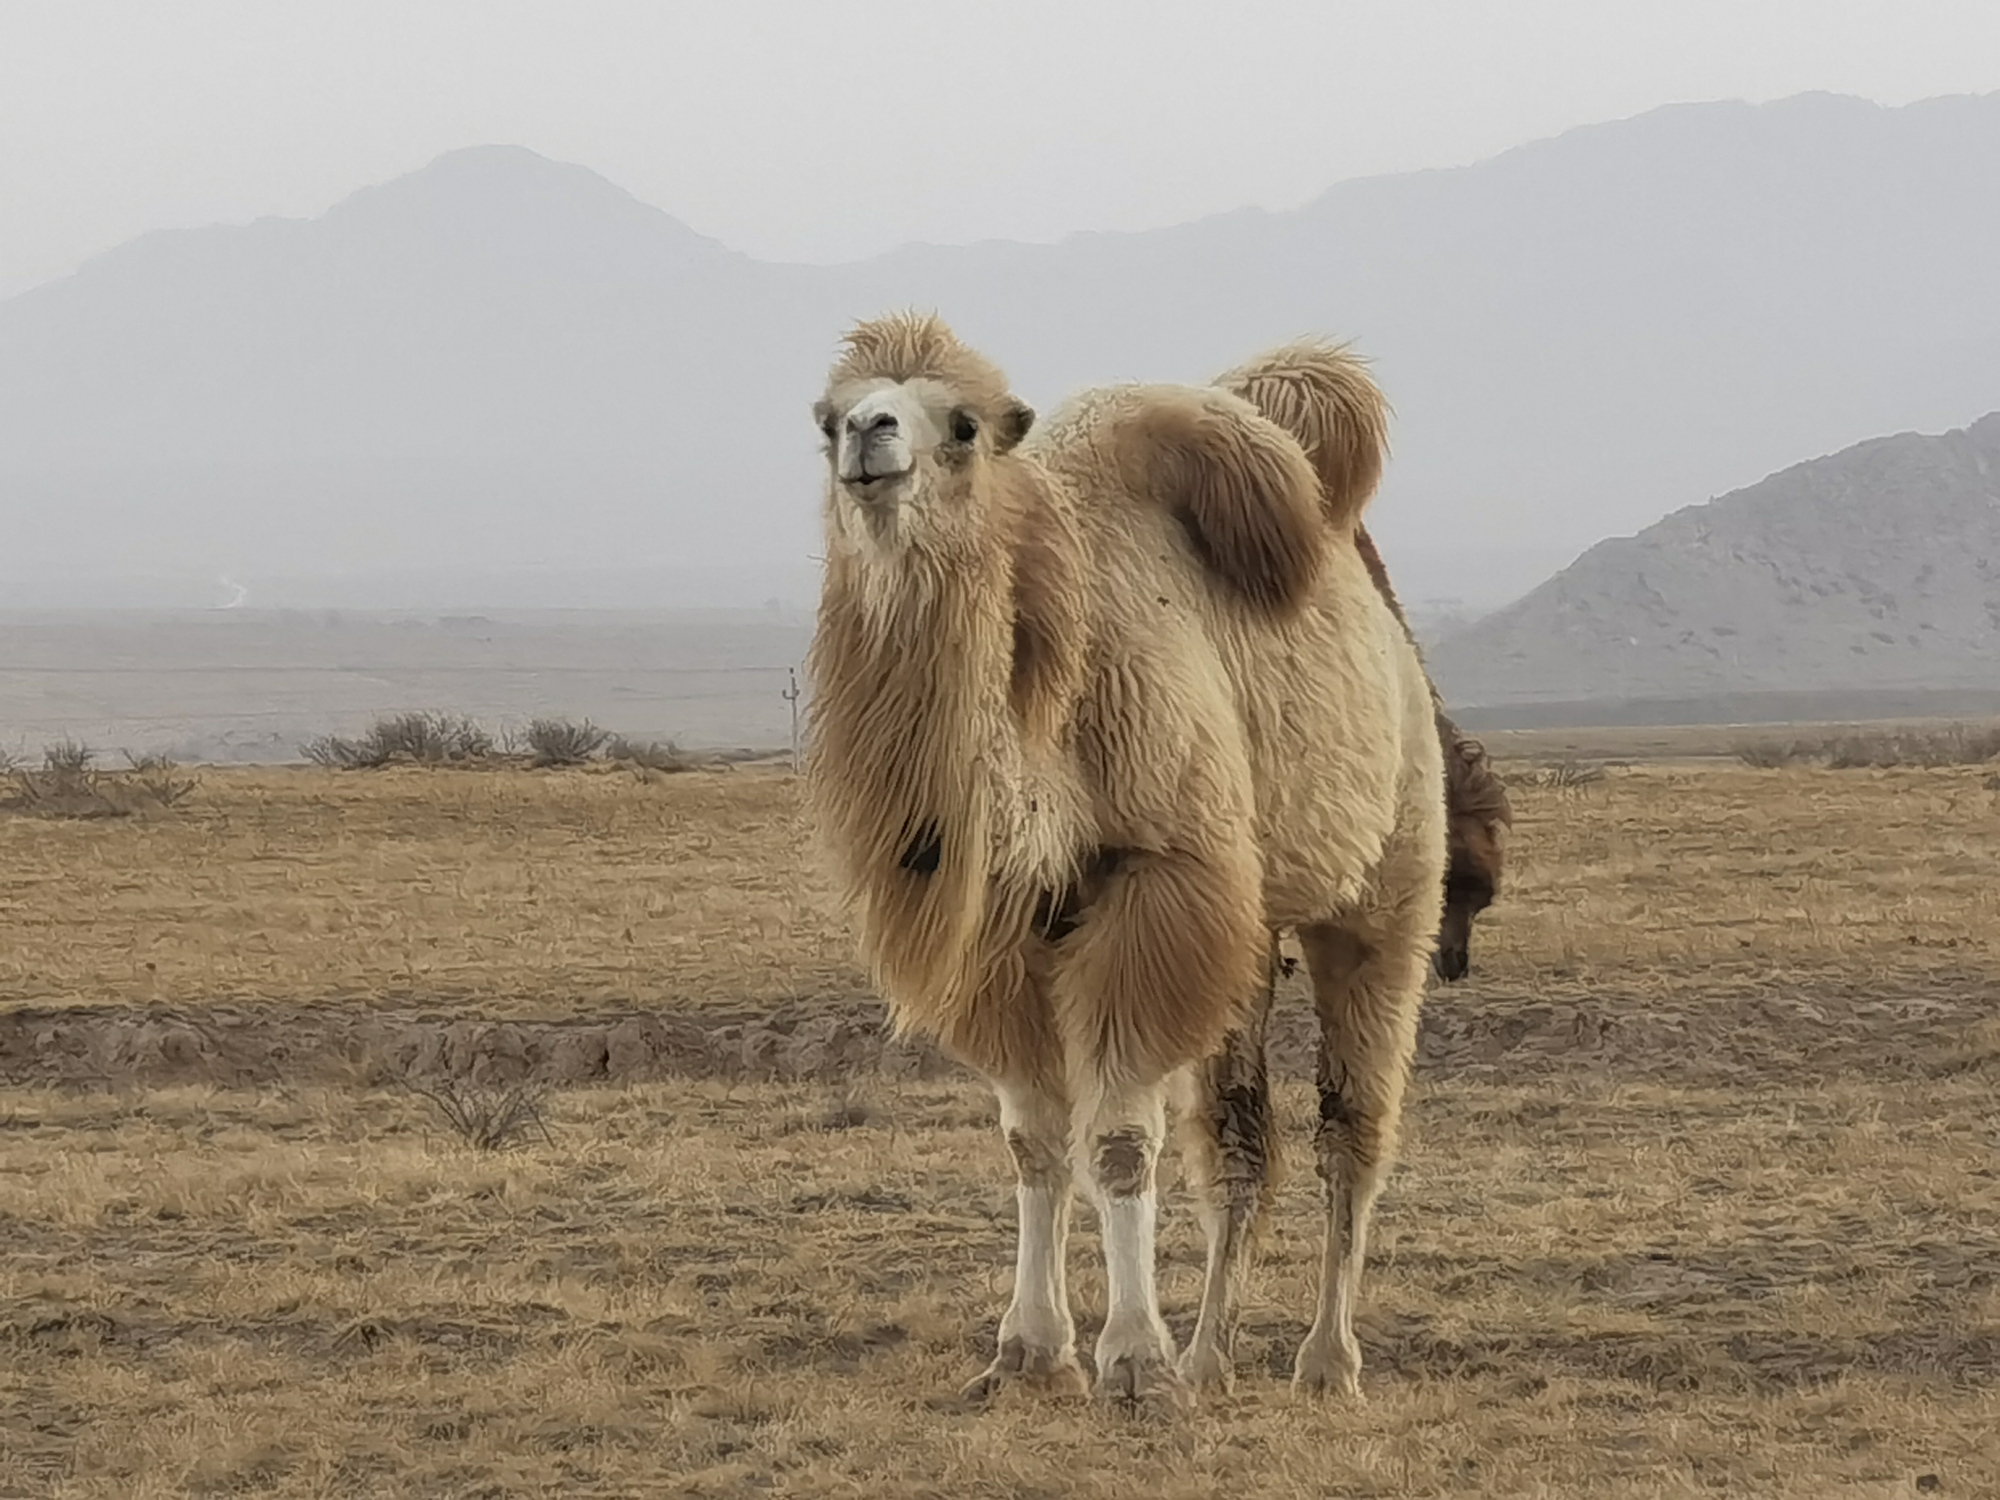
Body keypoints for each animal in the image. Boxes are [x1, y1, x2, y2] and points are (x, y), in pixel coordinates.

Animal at [804, 314, 1448, 1408]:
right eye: (825, 416)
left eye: (962, 423)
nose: (868, 436)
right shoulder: (1011, 927)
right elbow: (1033, 1141)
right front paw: (1028, 1349)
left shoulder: (1155, 884)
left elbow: (1114, 1139)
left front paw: (1133, 1359)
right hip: (1249, 927)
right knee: (1239, 1139)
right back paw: (1213, 1356)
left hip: (1387, 883)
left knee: (1352, 1127)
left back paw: (1325, 1361)